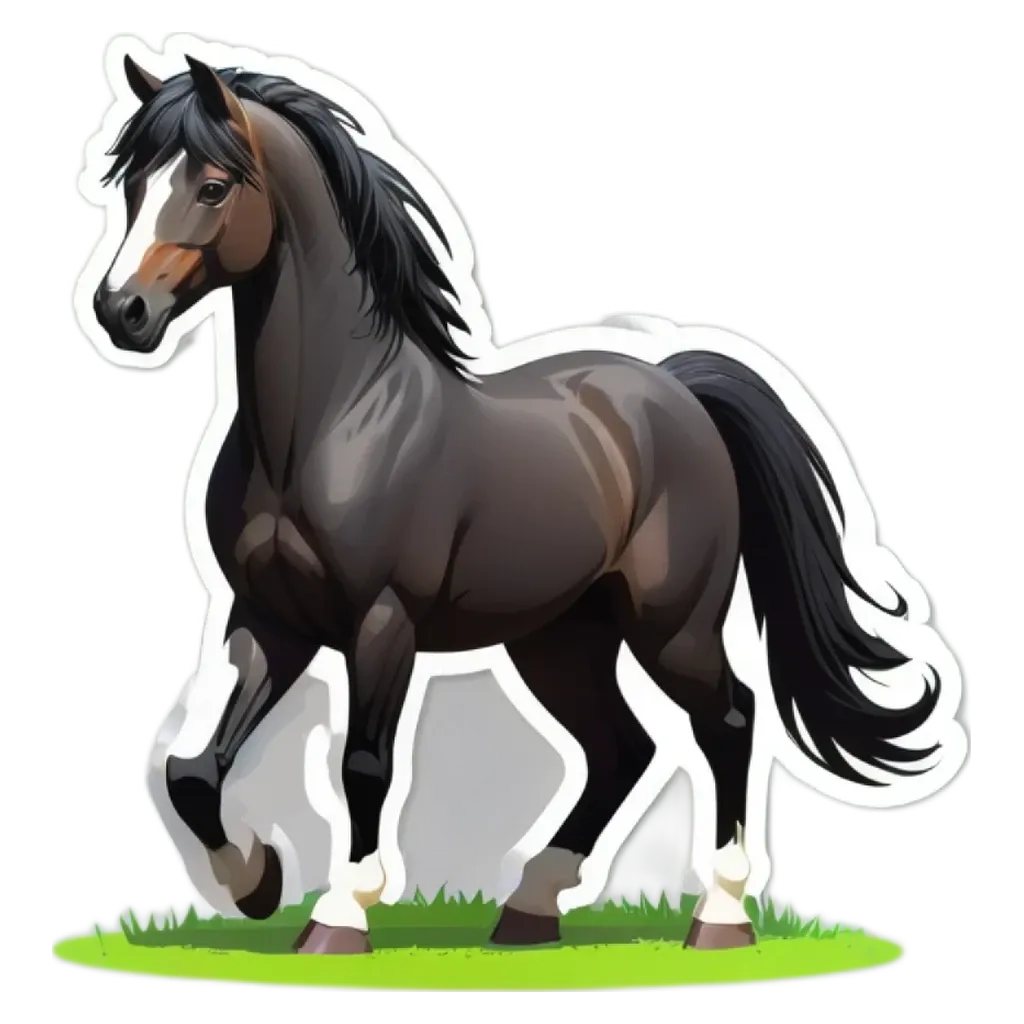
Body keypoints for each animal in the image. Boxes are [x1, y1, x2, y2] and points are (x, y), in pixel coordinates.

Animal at [91, 53, 942, 956]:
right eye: (134, 182)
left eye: (214, 186)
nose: (122, 311)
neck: (334, 419)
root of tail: (677, 389)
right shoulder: (267, 617)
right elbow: (193, 769)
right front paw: (257, 884)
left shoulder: (382, 624)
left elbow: (364, 765)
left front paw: (337, 918)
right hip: (561, 639)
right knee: (621, 749)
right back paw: (531, 908)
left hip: (673, 627)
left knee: (733, 721)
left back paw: (718, 918)